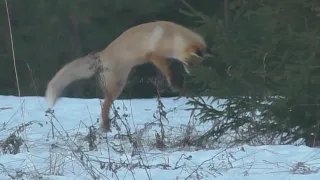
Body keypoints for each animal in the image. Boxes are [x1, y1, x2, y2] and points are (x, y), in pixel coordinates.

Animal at [45, 20, 212, 131]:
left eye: (197, 64)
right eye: (190, 63)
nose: (194, 74)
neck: (173, 38)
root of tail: (101, 55)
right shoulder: (153, 55)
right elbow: (167, 70)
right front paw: (174, 83)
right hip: (117, 87)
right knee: (104, 107)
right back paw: (106, 128)